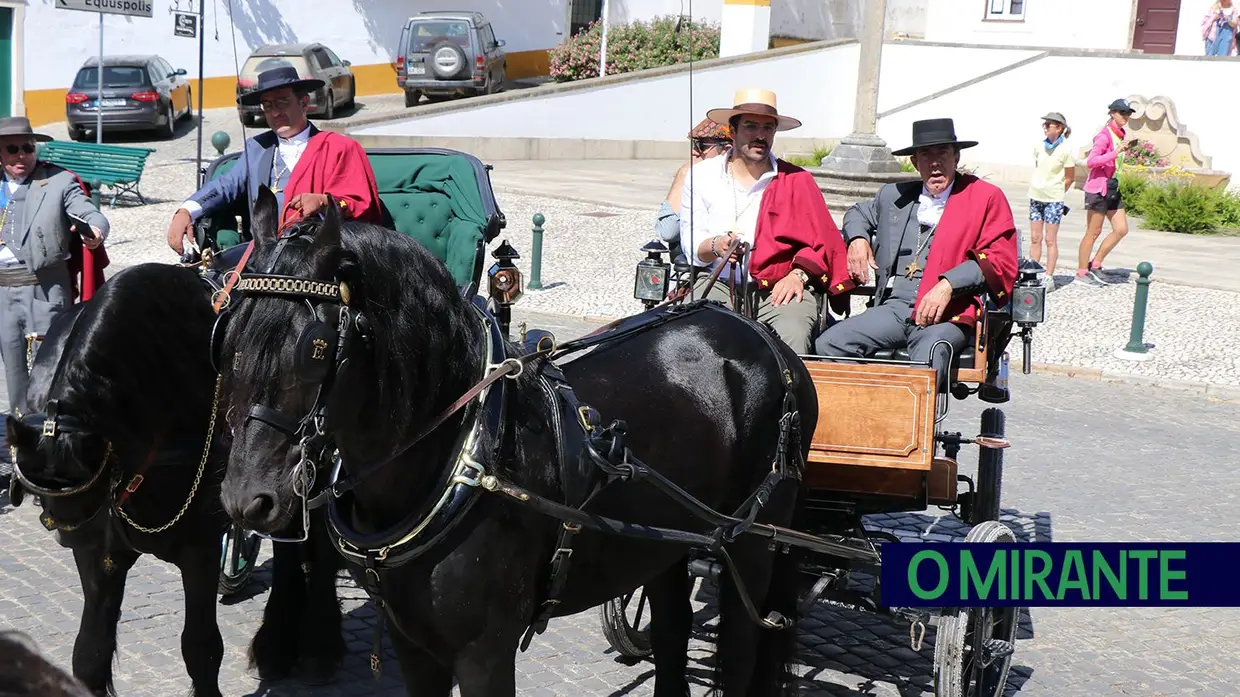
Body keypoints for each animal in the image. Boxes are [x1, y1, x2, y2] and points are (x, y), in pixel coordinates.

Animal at [4, 261, 344, 694]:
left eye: (86, 504)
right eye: (51, 514)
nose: (70, 535)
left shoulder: (199, 545)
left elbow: (201, 648)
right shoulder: (96, 552)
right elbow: (90, 650)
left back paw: (315, 643)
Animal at [213, 186, 813, 694]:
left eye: (314, 350)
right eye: (229, 336)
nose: (246, 502)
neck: (459, 453)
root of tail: (766, 338)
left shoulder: (486, 653)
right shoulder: (413, 645)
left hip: (754, 542)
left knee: (741, 649)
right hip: (669, 543)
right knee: (672, 630)